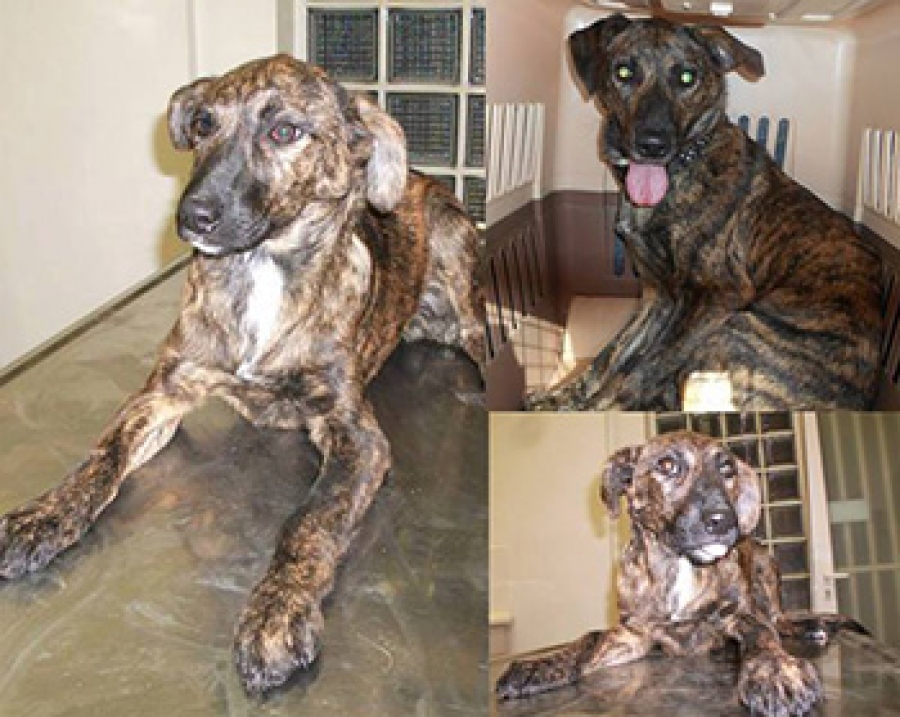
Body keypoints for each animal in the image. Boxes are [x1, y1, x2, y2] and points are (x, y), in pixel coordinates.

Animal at [0, 54, 484, 694]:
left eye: (284, 131)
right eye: (204, 123)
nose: (191, 216)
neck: (260, 272)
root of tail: (422, 177)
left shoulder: (356, 435)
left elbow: (309, 521)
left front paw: (277, 612)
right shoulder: (164, 390)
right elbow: (102, 458)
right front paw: (46, 516)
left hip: (457, 258)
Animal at [496, 431, 865, 716]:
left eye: (727, 468)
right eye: (666, 466)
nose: (724, 521)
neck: (680, 567)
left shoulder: (736, 616)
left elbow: (761, 633)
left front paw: (776, 672)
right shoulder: (636, 634)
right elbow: (588, 639)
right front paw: (539, 665)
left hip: (766, 564)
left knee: (777, 618)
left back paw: (811, 626)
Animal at [528, 14, 883, 411]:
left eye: (687, 77)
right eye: (623, 72)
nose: (652, 144)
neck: (681, 168)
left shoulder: (716, 297)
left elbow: (646, 367)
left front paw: (599, 406)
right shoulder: (656, 295)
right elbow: (611, 356)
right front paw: (561, 399)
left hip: (737, 330)